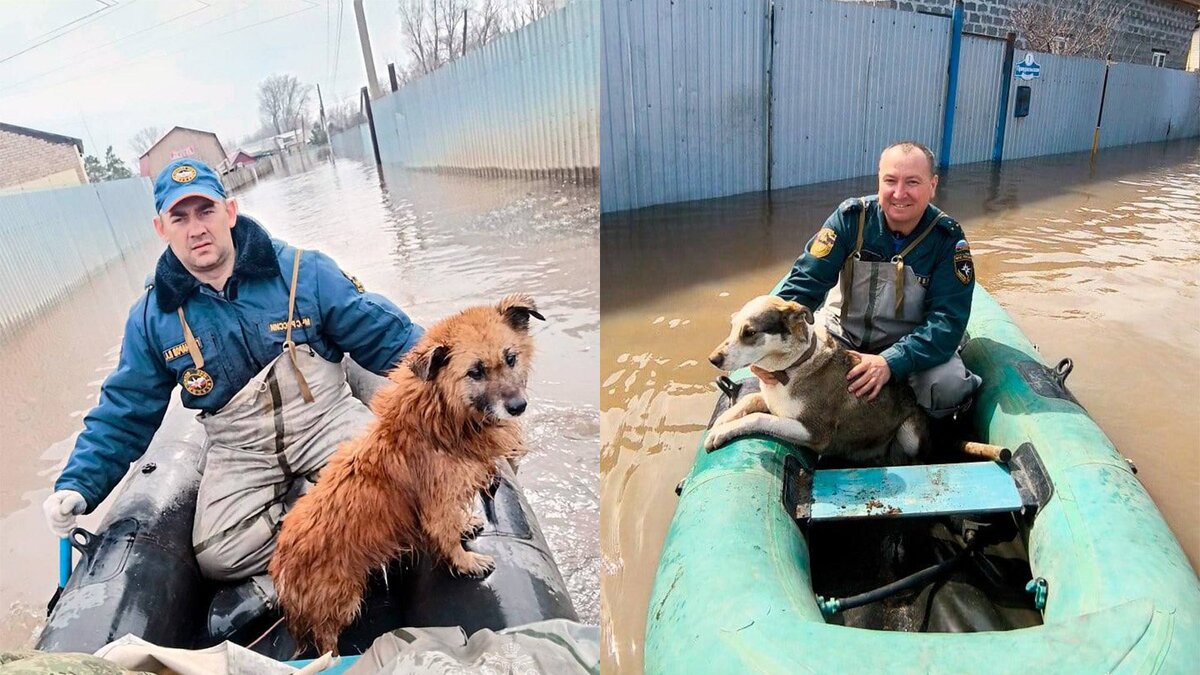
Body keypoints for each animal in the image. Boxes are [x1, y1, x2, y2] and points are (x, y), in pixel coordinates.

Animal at [270, 293, 547, 653]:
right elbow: (447, 538)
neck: (442, 421)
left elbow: (454, 525)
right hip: (339, 600)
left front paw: (466, 525)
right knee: (325, 640)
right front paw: (467, 562)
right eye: (475, 372)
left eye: (510, 358)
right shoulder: (438, 505)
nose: (517, 406)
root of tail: (279, 565)